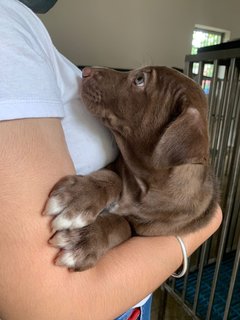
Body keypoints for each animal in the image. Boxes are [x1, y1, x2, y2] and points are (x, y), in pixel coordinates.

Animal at [44, 67, 218, 270]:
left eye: (140, 79)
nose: (85, 71)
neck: (142, 185)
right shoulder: (117, 166)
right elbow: (112, 177)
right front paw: (78, 196)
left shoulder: (144, 230)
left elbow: (123, 224)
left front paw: (83, 238)